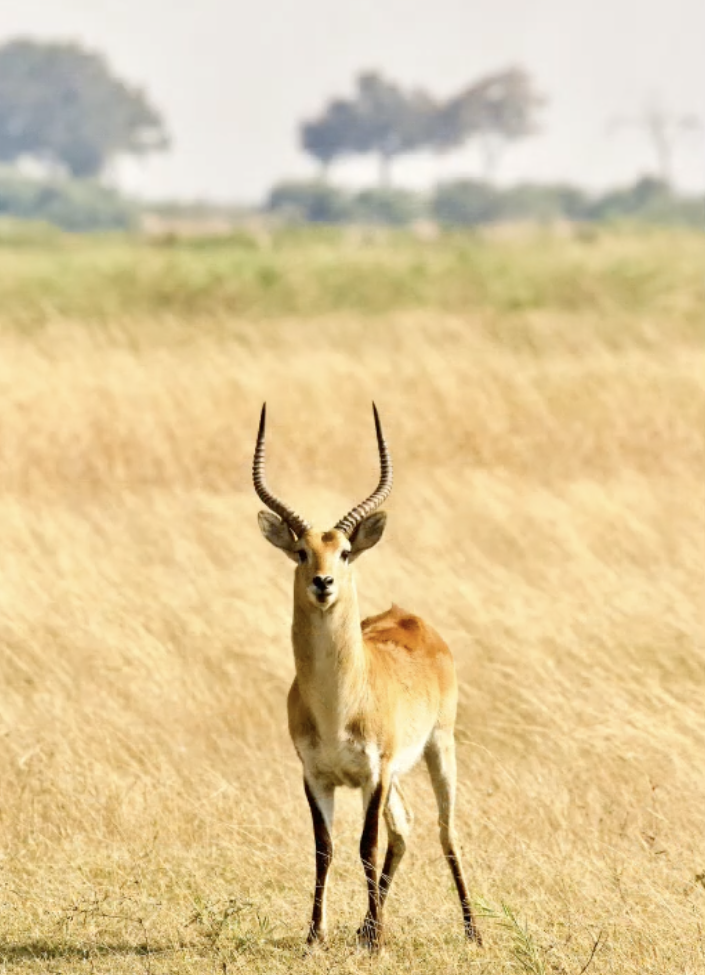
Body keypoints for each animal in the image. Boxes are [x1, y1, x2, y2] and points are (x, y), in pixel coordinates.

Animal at [250, 404, 482, 952]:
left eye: (345, 551)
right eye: (301, 552)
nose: (323, 583)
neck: (339, 704)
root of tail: (414, 620)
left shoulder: (375, 772)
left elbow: (365, 846)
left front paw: (375, 943)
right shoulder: (316, 775)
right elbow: (326, 848)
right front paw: (316, 934)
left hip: (439, 748)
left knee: (445, 831)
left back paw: (471, 931)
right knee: (406, 827)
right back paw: (365, 926)